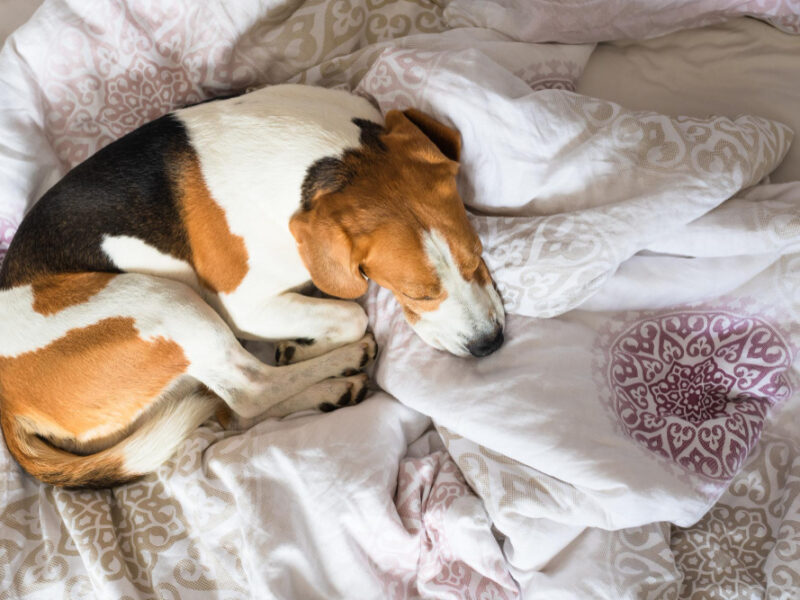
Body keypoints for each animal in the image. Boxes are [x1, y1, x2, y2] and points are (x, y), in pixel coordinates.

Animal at [0, 83, 504, 488]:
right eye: (419, 293)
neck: (334, 159)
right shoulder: (242, 306)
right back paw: (337, 369)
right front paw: (317, 343)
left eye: (478, 256)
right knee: (249, 390)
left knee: (236, 407)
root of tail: (8, 402)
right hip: (165, 302)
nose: (490, 345)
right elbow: (352, 311)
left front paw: (301, 345)